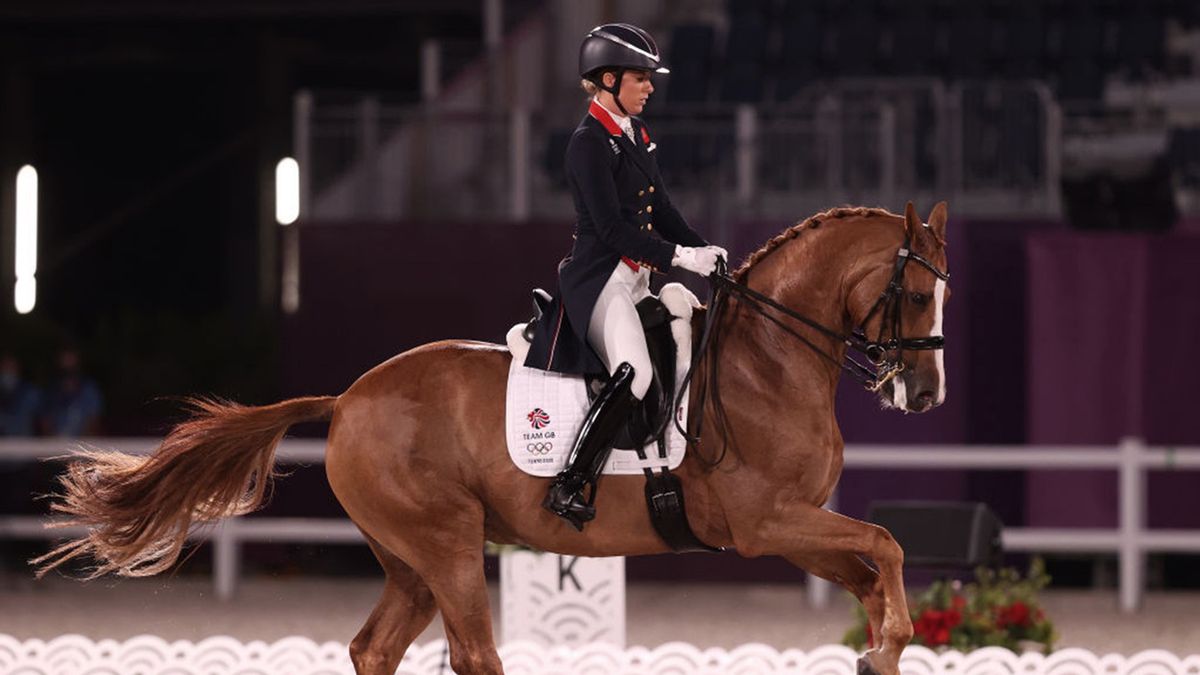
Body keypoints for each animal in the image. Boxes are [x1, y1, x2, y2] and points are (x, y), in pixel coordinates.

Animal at [37, 199, 950, 672]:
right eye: (914, 295)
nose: (926, 393)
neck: (767, 357)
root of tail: (349, 397)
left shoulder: (790, 528)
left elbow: (871, 569)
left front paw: (879, 649)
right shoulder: (765, 522)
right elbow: (890, 543)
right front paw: (893, 642)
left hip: (410, 560)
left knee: (374, 647)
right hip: (446, 543)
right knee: (474, 653)